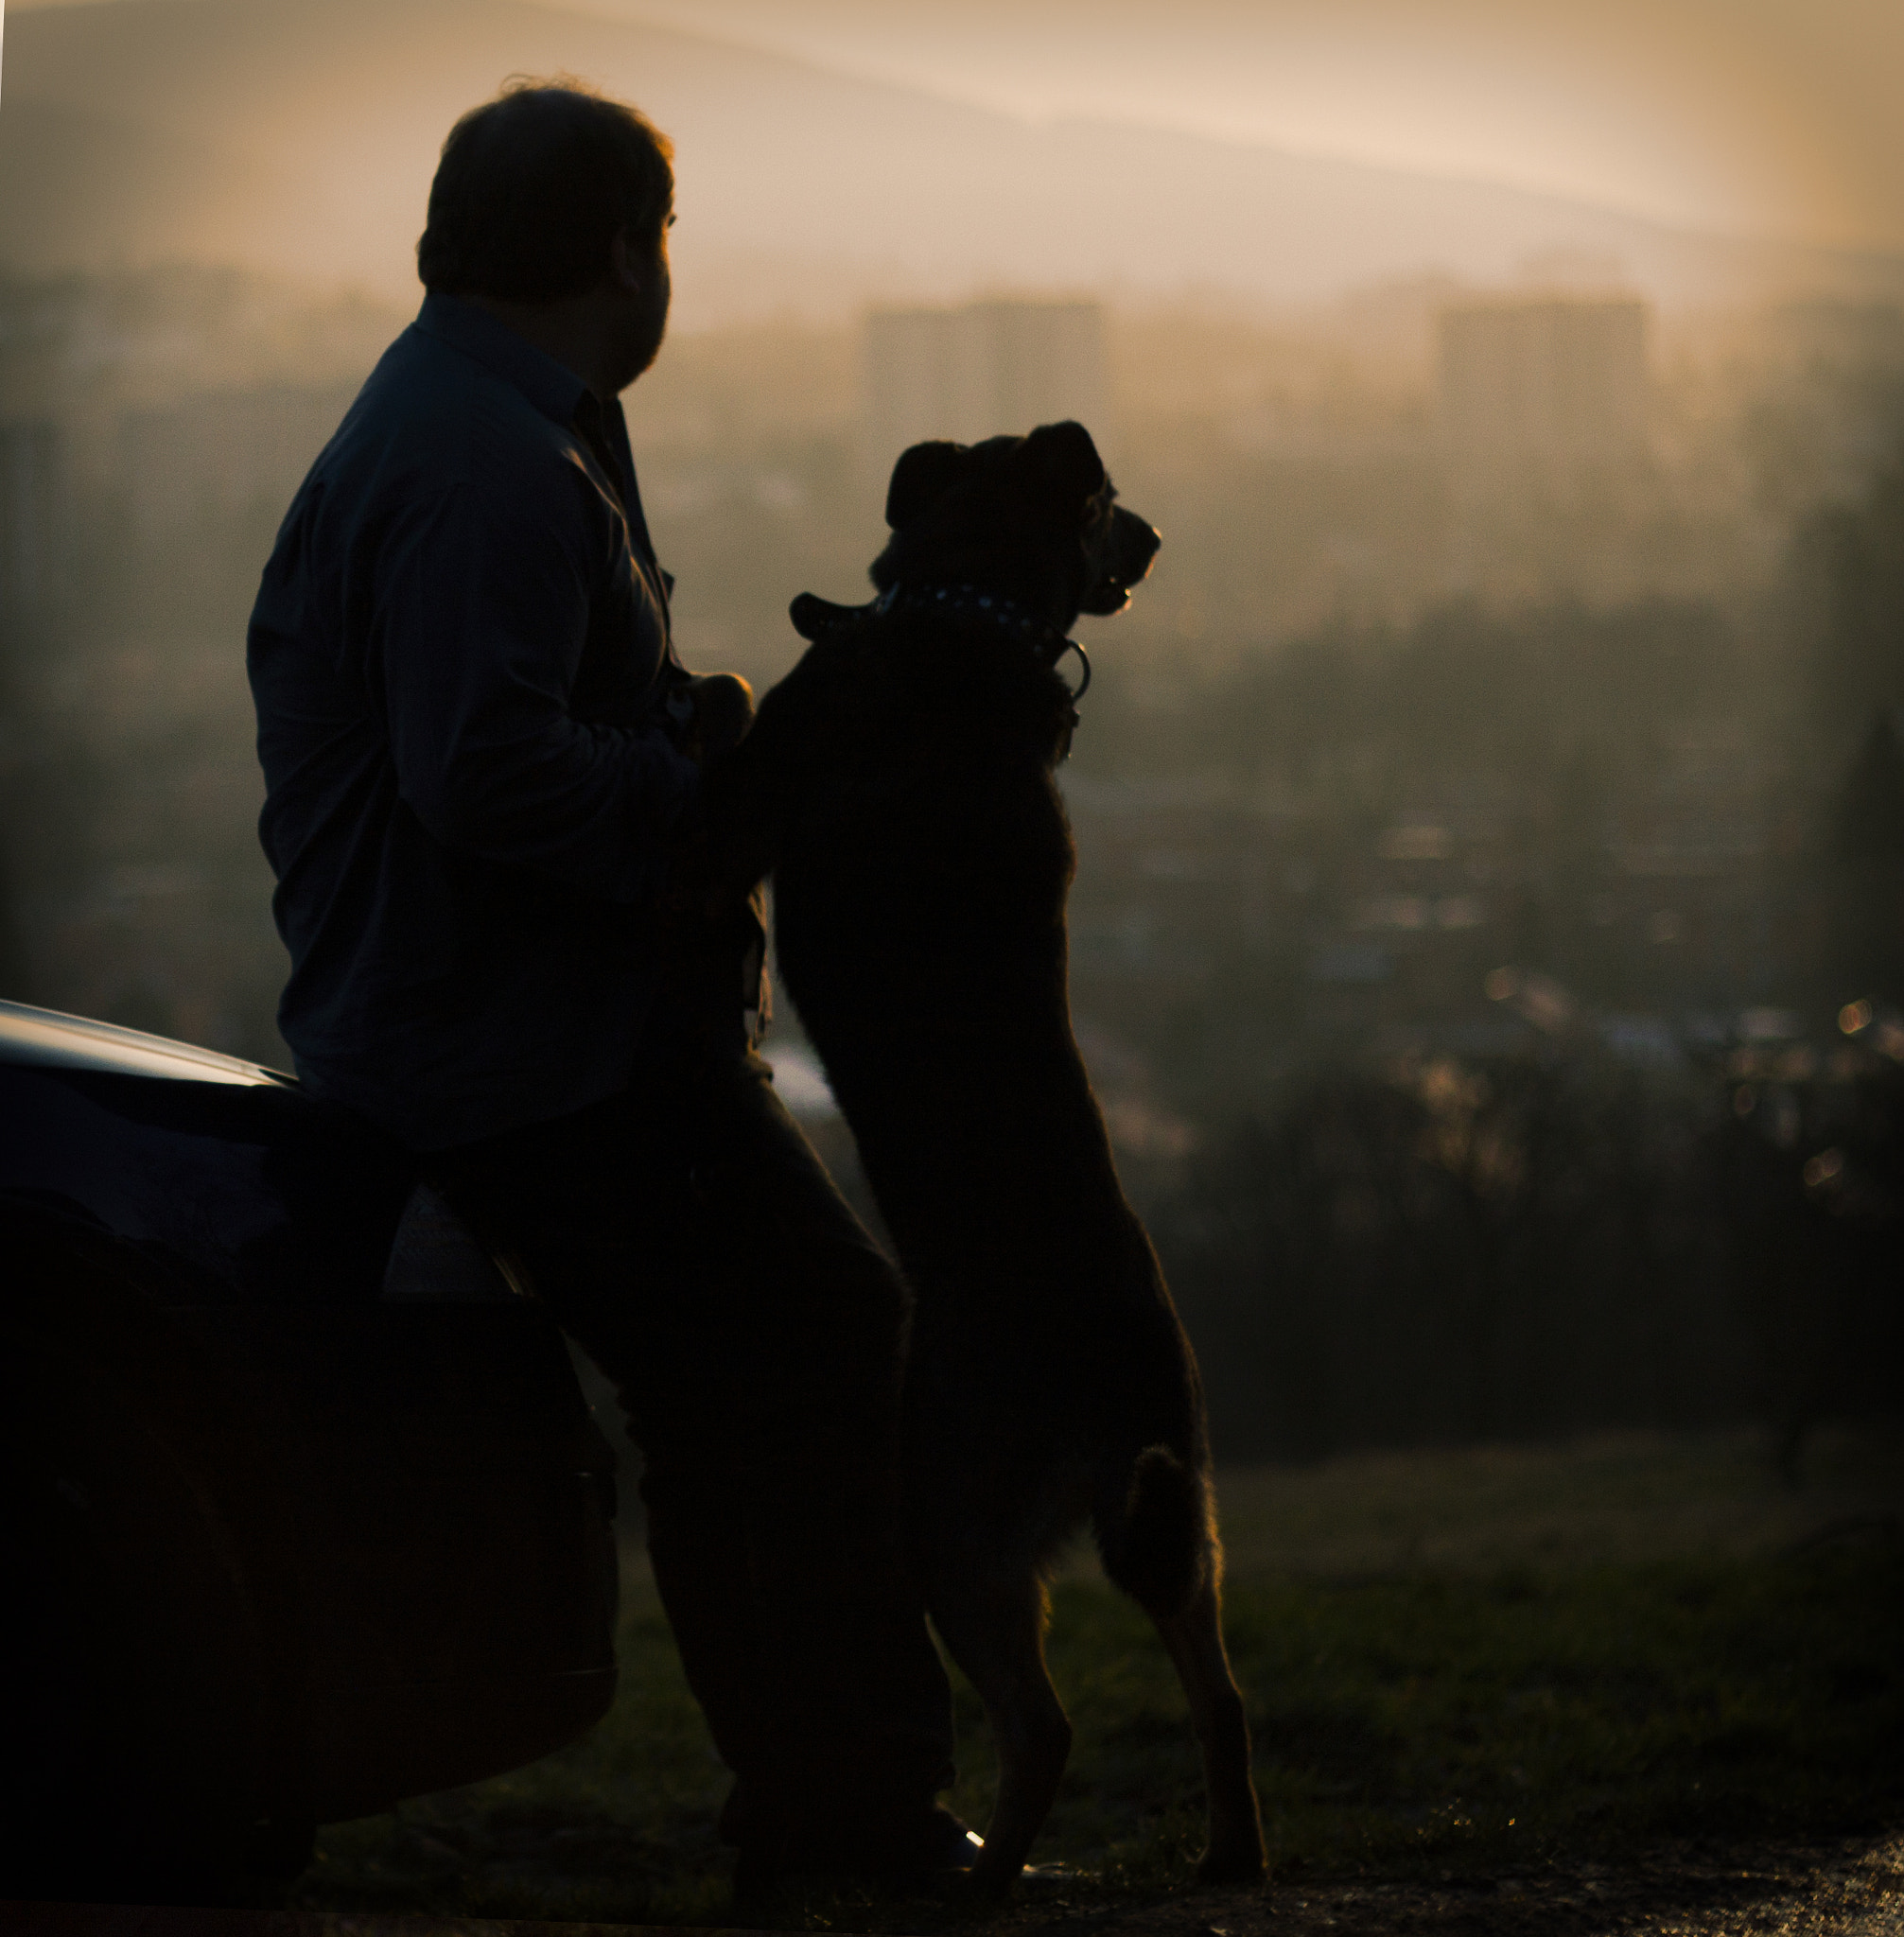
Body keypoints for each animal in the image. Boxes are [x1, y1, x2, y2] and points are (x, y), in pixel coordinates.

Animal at [701, 420, 1263, 1890]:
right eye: (1115, 505)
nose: (1157, 540)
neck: (965, 613)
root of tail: (1111, 1395)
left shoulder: (770, 779)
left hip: (949, 1525)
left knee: (1046, 1724)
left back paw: (981, 1882)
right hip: (1176, 1518)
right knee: (1220, 1693)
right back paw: (1228, 1853)